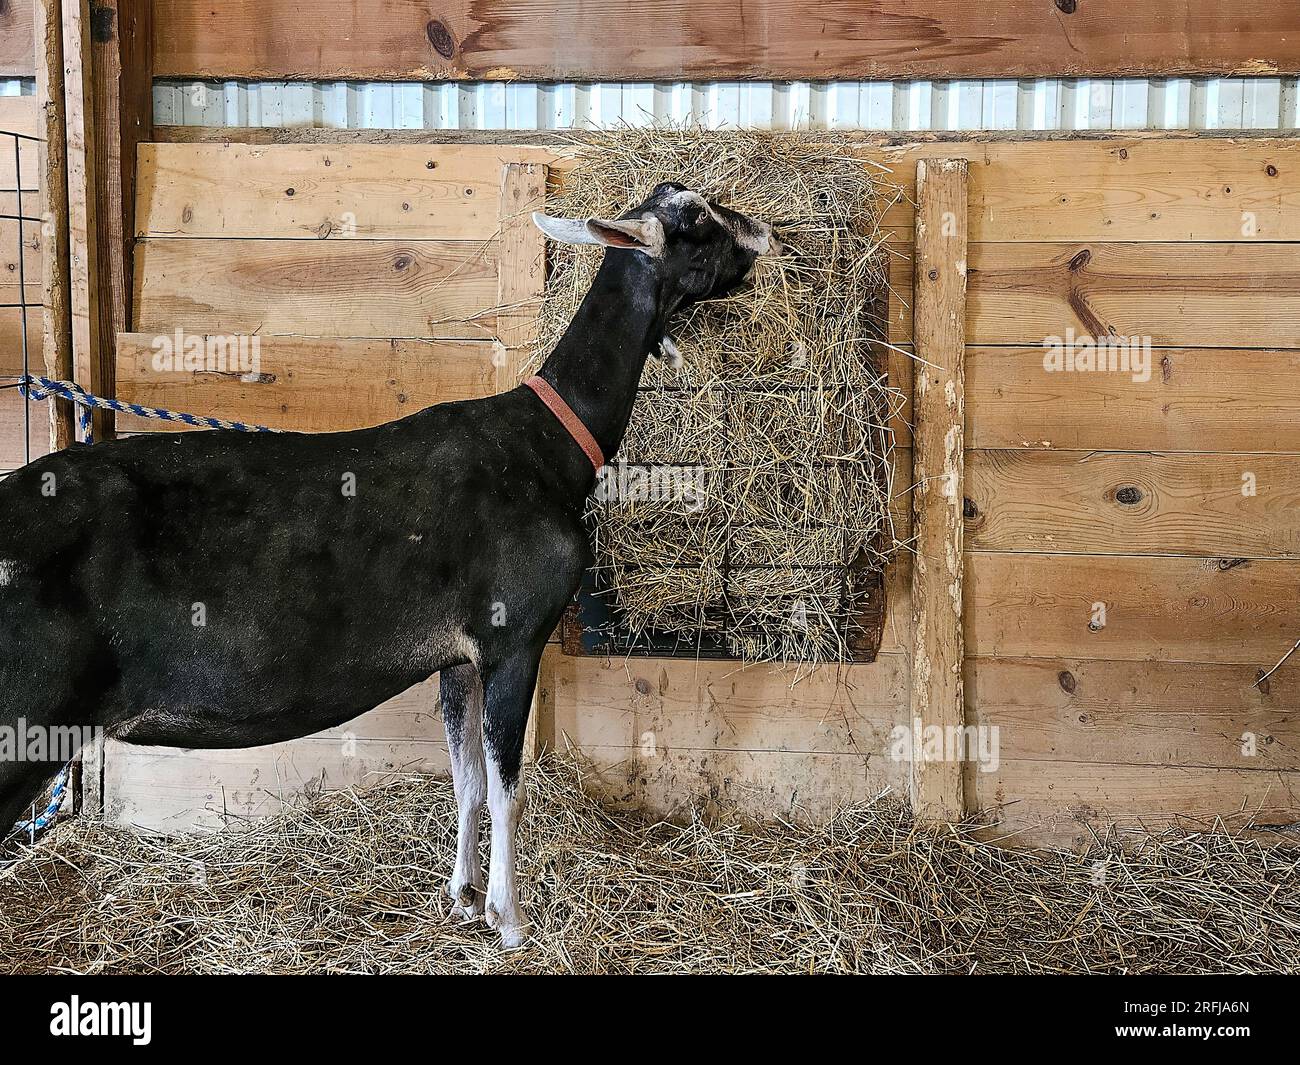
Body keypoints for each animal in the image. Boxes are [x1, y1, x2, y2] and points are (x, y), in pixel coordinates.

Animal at [0, 182, 782, 947]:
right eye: (696, 220)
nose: (766, 234)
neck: (545, 445)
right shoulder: (513, 636)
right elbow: (507, 783)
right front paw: (509, 919)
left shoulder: (458, 657)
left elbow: (467, 778)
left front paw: (462, 897)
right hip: (26, 719)